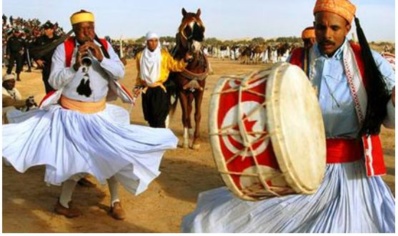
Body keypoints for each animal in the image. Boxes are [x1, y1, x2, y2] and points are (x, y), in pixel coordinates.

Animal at [169, 8, 210, 149]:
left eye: (201, 27)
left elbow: (197, 115)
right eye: (186, 28)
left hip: (191, 93)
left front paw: (196, 141)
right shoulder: (181, 91)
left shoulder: (199, 90)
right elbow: (185, 115)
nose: (195, 47)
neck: (193, 65)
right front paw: (186, 142)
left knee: (191, 108)